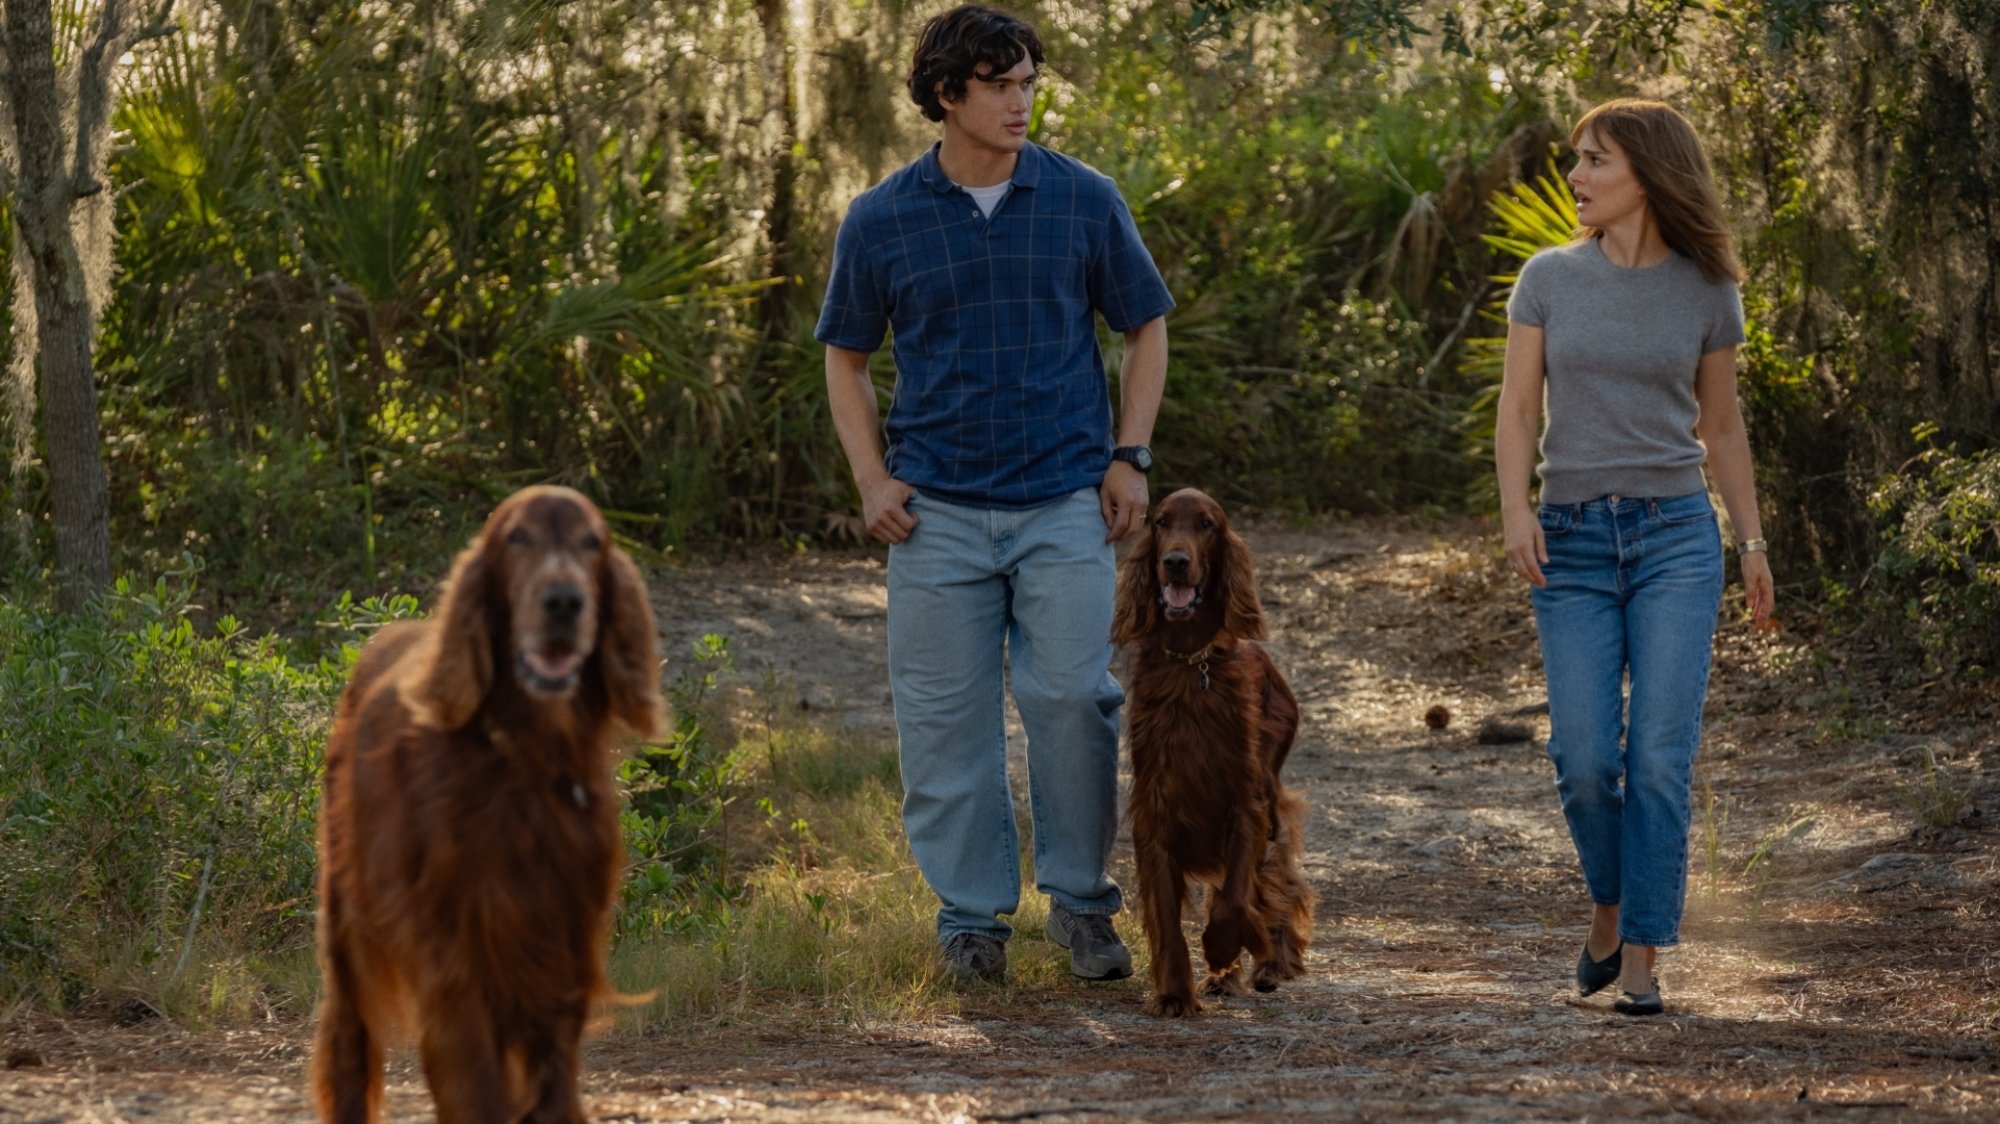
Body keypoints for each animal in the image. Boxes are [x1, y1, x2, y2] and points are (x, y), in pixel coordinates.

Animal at [308, 486, 660, 1120]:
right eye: (516, 538)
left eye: (592, 542)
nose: (564, 601)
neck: (524, 759)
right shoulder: (454, 952)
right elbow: (474, 1084)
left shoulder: (559, 943)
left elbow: (551, 1086)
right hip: (347, 920)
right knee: (348, 1045)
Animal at [1112, 486, 1312, 1012]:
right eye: (1160, 521)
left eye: (1207, 524)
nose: (1176, 562)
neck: (1190, 663)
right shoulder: (1156, 813)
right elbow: (1167, 914)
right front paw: (1174, 993)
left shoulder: (1245, 805)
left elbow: (1235, 900)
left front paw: (1226, 947)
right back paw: (1227, 976)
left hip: (1270, 796)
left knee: (1277, 881)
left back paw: (1270, 963)